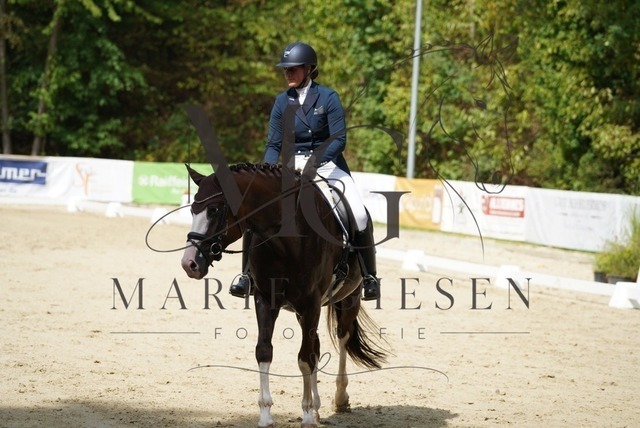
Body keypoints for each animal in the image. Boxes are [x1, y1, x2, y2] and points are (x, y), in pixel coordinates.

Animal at [180, 162, 387, 428]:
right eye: (193, 210)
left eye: (214, 210)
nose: (189, 264)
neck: (286, 238)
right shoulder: (266, 300)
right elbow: (265, 351)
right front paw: (267, 414)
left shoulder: (310, 303)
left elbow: (305, 358)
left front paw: (306, 414)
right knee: (316, 345)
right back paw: (317, 407)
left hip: (348, 299)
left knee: (342, 337)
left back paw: (339, 399)